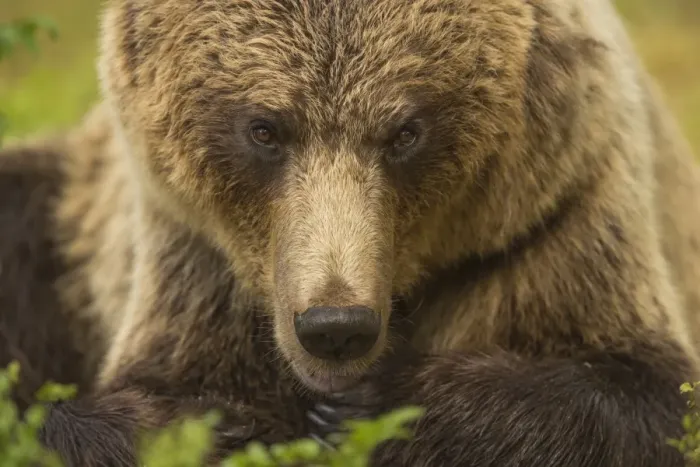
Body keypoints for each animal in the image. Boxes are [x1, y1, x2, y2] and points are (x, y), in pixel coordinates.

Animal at [2, 0, 700, 465]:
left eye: (406, 131)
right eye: (264, 128)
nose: (335, 327)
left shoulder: (557, 211)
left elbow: (648, 394)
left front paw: (376, 406)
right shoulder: (193, 255)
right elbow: (179, 385)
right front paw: (207, 422)